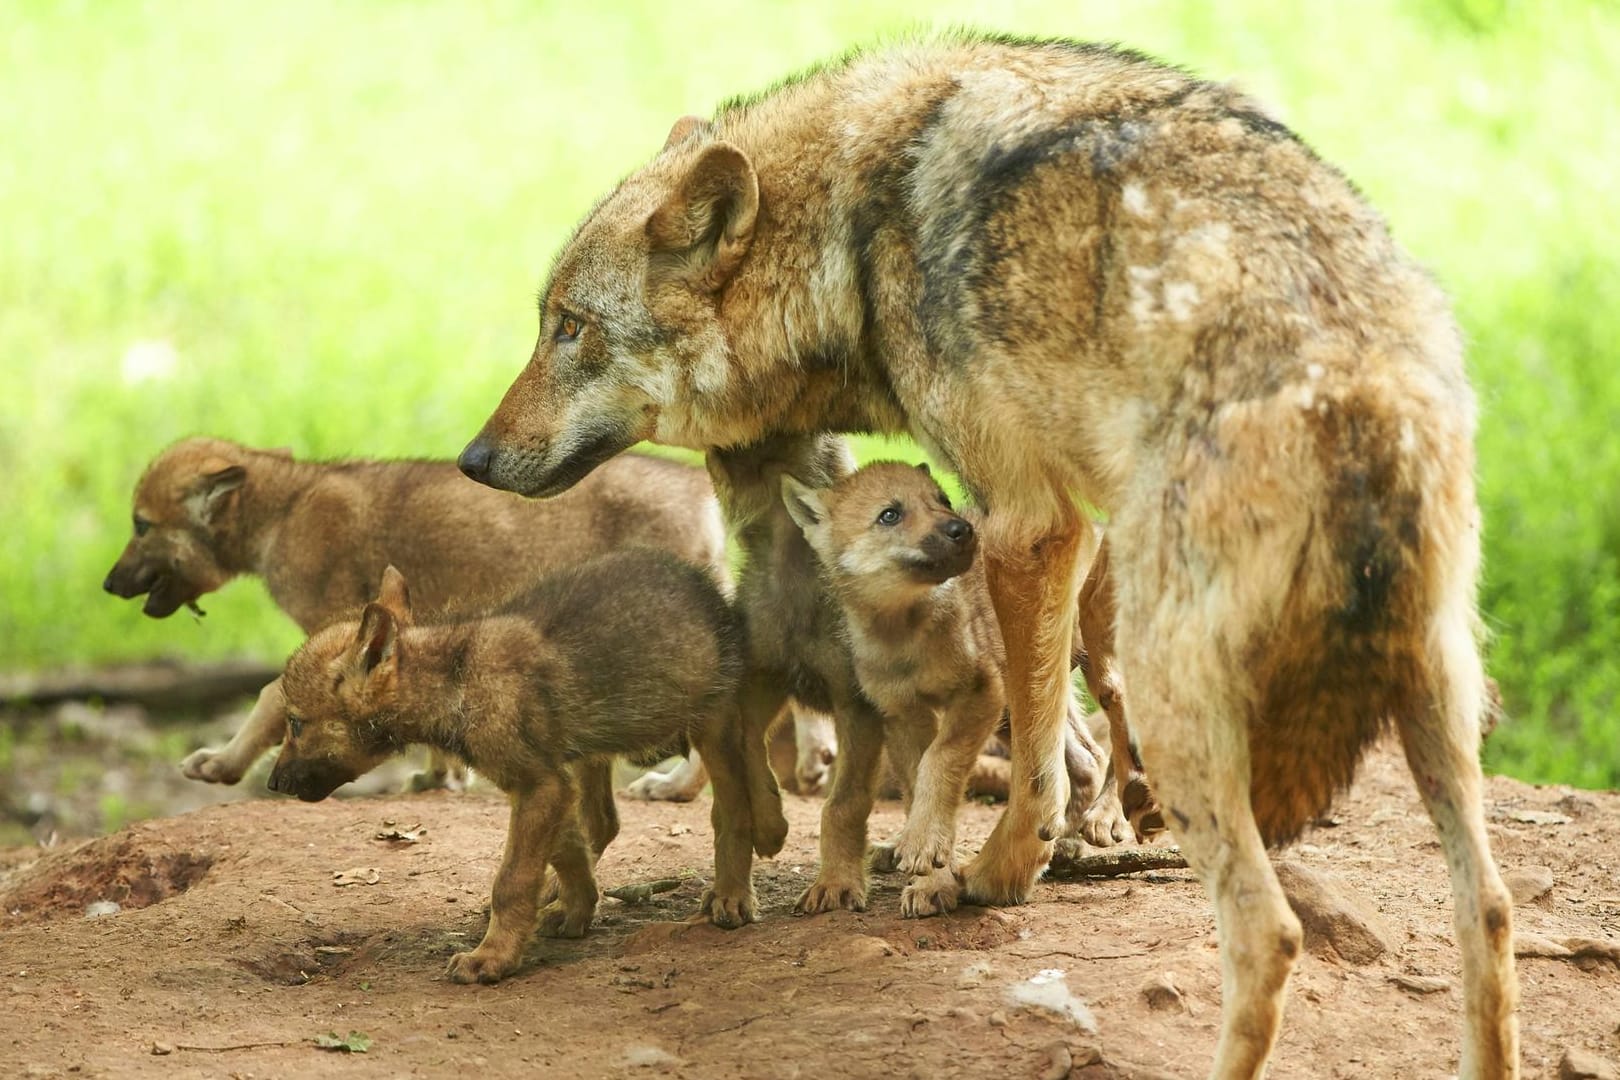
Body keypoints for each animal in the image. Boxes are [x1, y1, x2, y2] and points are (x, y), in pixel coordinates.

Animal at [460, 35, 1516, 1080]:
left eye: (570, 328)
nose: (471, 460)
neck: (853, 229)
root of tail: (1362, 385)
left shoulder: (1026, 526)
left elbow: (1030, 750)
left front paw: (990, 869)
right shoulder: (1054, 533)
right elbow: (1029, 739)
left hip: (1180, 699)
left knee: (1271, 932)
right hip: (1438, 706)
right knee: (1490, 914)